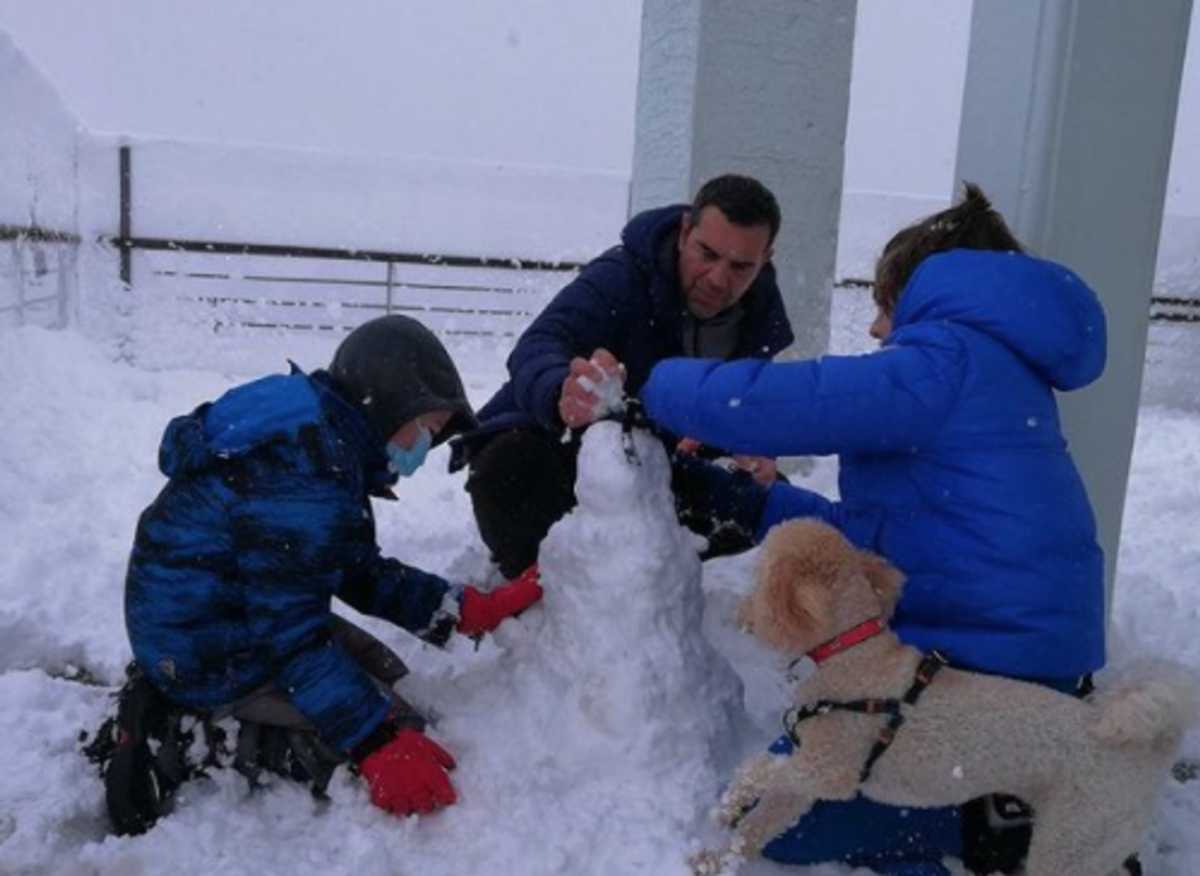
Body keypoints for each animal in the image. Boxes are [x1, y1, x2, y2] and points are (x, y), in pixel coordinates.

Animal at [700, 518, 1195, 873]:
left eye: (761, 580)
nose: (742, 612)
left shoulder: (831, 768)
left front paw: (724, 805)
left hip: (1072, 840)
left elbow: (759, 768)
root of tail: (1151, 752)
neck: (854, 655)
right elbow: (763, 819)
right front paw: (714, 856)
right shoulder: (804, 783)